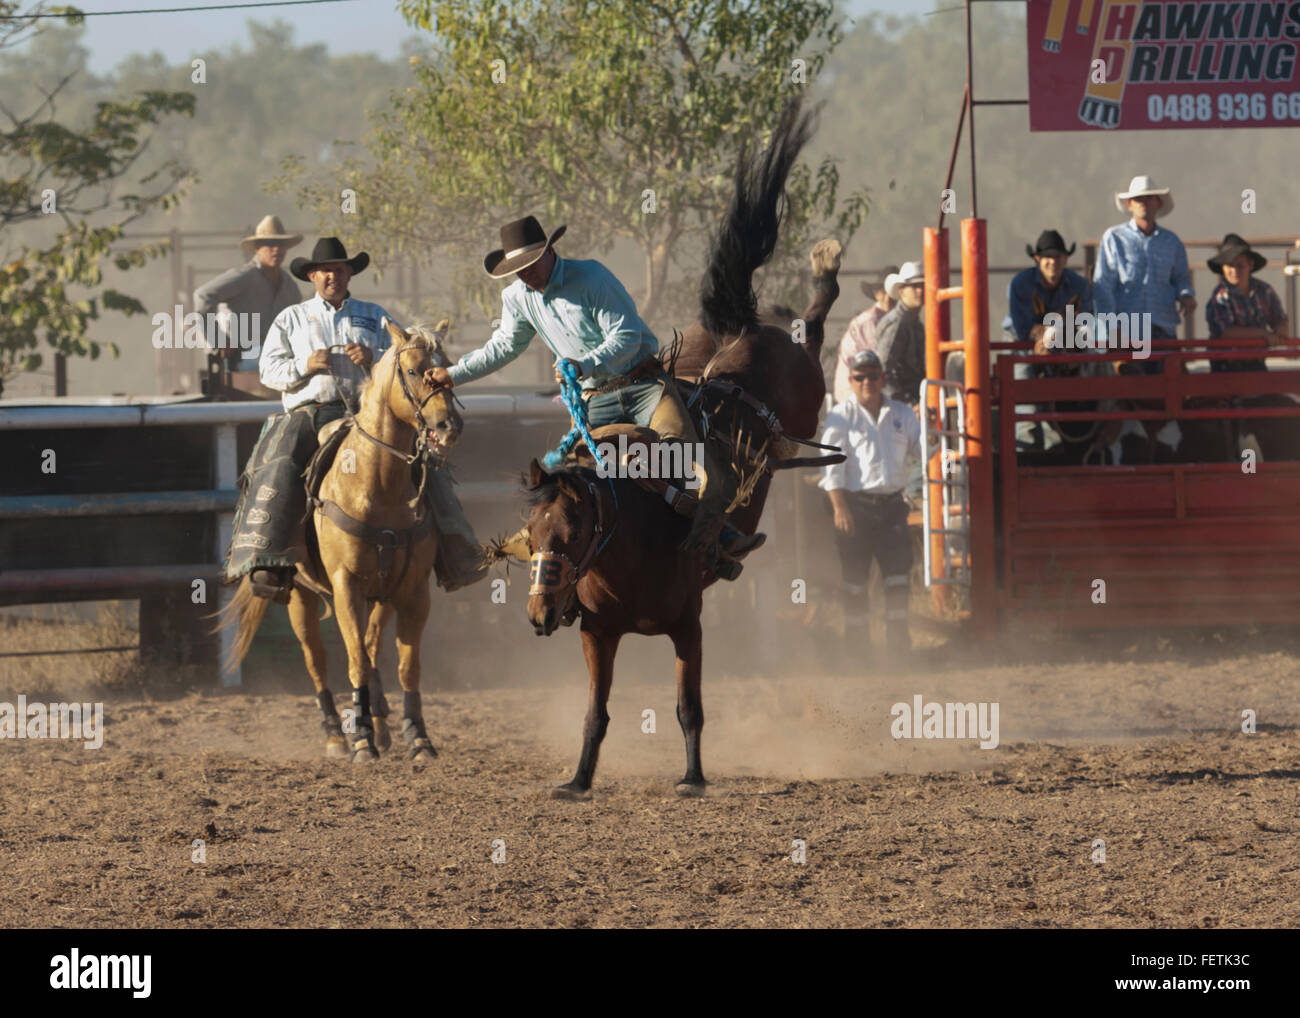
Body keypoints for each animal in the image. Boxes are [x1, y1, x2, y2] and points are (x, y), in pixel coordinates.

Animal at [223, 326, 462, 764]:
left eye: (446, 366)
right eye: (413, 370)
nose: (448, 425)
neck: (377, 484)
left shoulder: (412, 591)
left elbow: (405, 666)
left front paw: (417, 737)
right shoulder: (346, 584)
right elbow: (353, 664)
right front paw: (362, 742)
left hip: (376, 596)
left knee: (370, 646)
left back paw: (380, 723)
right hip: (302, 596)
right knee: (317, 660)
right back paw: (337, 734)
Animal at [512, 99, 847, 800]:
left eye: (571, 532)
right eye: (532, 535)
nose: (537, 612)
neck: (634, 538)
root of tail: (743, 334)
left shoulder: (689, 624)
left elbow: (688, 706)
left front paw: (693, 777)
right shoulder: (598, 634)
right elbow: (596, 713)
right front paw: (577, 780)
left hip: (809, 384)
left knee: (814, 320)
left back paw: (827, 264)